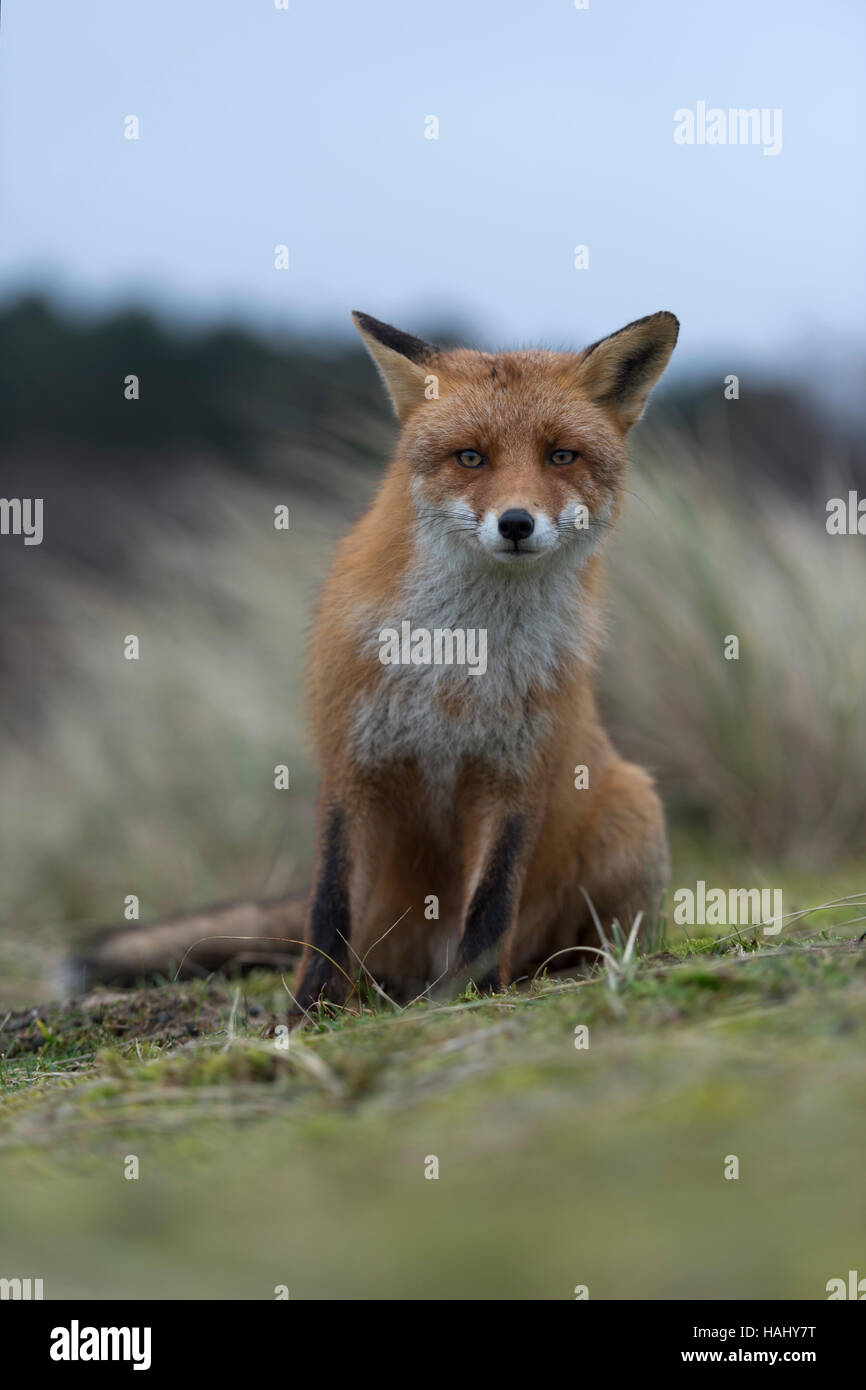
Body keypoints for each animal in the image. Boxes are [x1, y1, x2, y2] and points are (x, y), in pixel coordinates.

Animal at [76, 312, 678, 1011]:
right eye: (470, 456)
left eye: (562, 456)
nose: (516, 523)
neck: (458, 658)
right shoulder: (353, 764)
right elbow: (329, 906)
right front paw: (310, 1010)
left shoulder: (517, 776)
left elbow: (492, 903)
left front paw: (472, 995)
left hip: (634, 805)